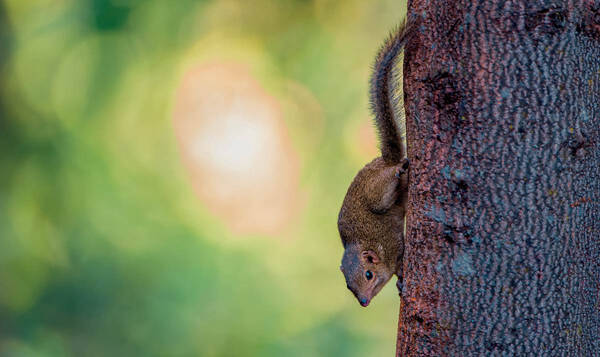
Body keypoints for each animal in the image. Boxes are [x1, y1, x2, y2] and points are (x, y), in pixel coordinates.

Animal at [336, 20, 414, 308]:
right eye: (349, 286)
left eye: (368, 274)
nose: (363, 302)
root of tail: (385, 160)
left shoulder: (393, 246)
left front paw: (402, 279)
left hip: (376, 193)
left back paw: (399, 169)